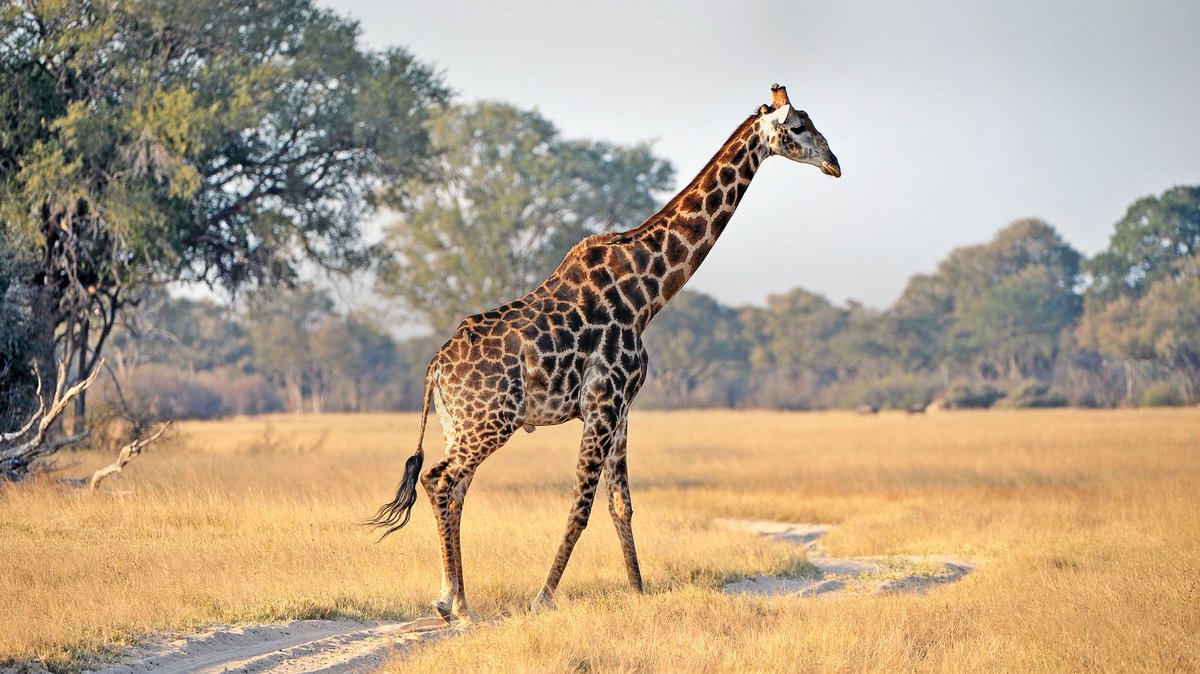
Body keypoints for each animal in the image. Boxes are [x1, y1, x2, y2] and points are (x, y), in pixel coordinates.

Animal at [368, 84, 840, 624]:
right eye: (799, 126)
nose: (834, 164)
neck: (648, 294)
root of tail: (435, 369)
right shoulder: (602, 402)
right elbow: (581, 506)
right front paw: (542, 598)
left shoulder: (623, 407)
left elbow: (621, 505)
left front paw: (638, 593)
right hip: (491, 421)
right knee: (440, 480)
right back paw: (455, 605)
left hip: (459, 424)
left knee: (454, 486)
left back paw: (458, 597)